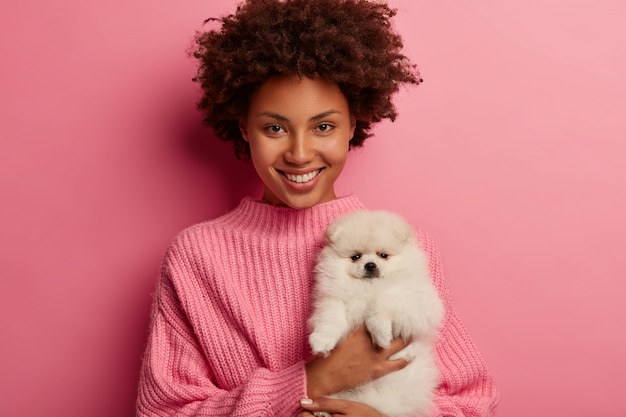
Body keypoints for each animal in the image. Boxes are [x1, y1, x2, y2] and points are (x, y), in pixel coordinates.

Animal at [308, 210, 444, 416]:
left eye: (383, 255)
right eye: (356, 256)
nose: (370, 265)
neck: (368, 286)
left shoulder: (417, 302)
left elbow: (382, 300)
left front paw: (381, 334)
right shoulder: (333, 299)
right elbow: (331, 319)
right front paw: (322, 341)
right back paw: (322, 410)